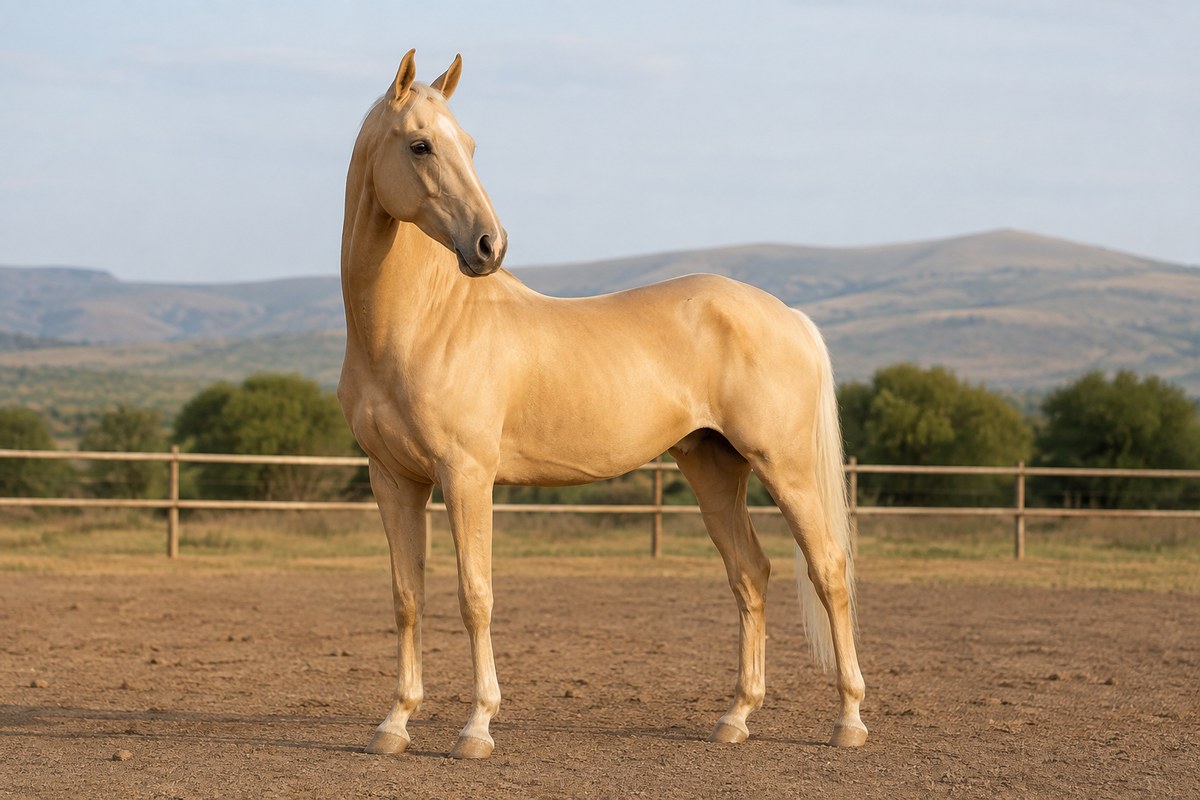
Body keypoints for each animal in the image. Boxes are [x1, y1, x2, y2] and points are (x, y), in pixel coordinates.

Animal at [337, 50, 867, 759]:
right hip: (713, 468)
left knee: (829, 570)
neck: (421, 323)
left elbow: (475, 596)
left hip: (785, 468)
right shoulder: (393, 480)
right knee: (750, 574)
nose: (489, 246)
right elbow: (406, 598)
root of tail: (792, 317)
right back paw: (736, 717)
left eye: (470, 145)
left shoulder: (466, 476)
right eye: (421, 144)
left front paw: (477, 727)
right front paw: (394, 724)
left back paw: (849, 720)